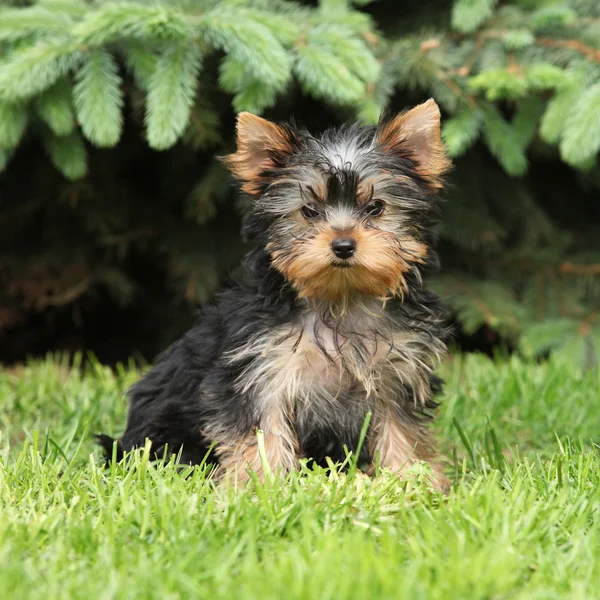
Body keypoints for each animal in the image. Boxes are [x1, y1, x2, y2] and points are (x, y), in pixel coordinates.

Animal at [98, 98, 452, 490]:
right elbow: (261, 429)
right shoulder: (259, 370)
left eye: (376, 208)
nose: (343, 245)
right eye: (308, 211)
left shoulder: (395, 373)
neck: (340, 299)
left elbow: (399, 427)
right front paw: (258, 484)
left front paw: (410, 478)